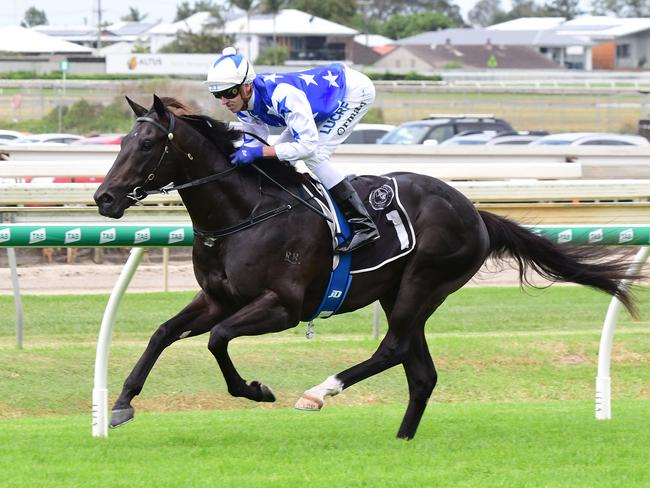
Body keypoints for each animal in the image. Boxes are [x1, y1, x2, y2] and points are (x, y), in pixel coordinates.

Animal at [93, 95, 636, 438]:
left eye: (146, 145)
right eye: (120, 144)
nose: (104, 198)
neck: (245, 213)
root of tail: (474, 211)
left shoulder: (283, 307)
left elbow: (218, 340)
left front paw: (255, 389)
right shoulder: (217, 297)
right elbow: (164, 332)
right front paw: (120, 404)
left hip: (424, 284)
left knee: (393, 348)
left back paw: (319, 392)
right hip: (401, 295)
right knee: (420, 372)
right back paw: (401, 440)